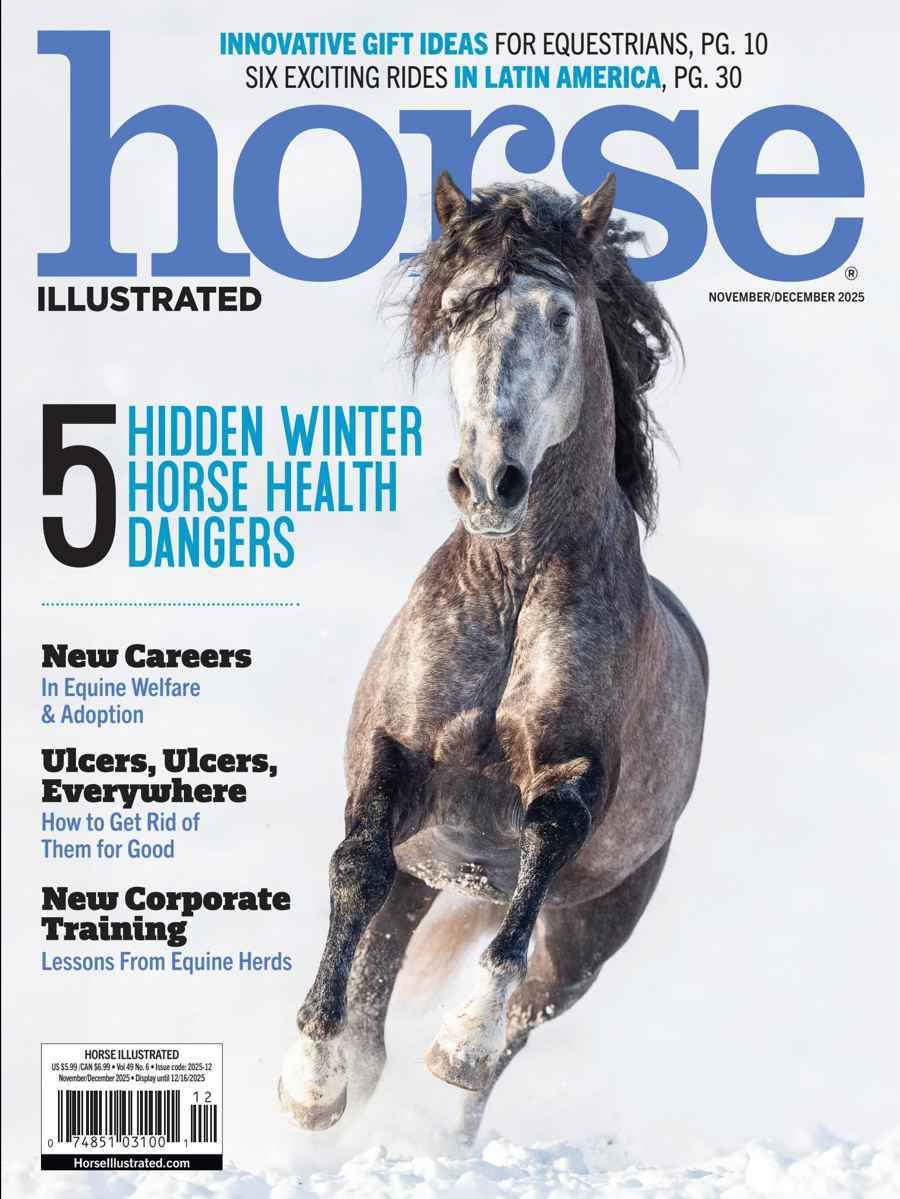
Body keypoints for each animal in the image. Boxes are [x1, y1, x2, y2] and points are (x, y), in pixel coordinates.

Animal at [278, 171, 709, 1143]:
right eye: (457, 309)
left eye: (559, 313)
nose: (488, 482)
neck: (513, 588)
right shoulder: (397, 763)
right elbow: (352, 869)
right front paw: (313, 1082)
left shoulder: (572, 774)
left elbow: (542, 844)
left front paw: (458, 1041)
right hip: (425, 869)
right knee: (380, 977)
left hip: (593, 925)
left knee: (527, 1014)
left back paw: (453, 1112)